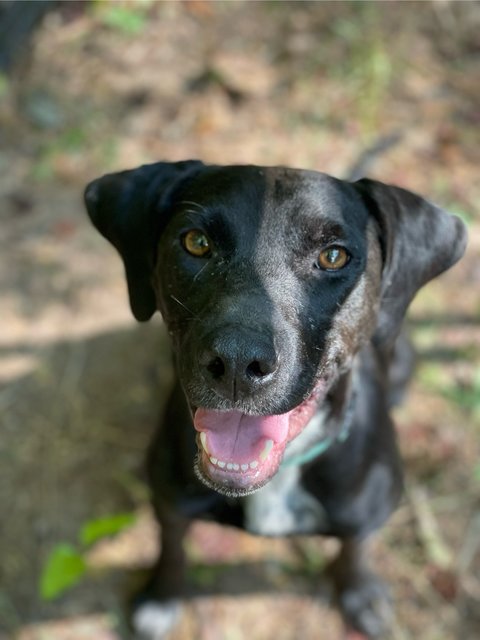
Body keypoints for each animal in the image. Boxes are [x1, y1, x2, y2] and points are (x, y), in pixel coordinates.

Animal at [84, 162, 466, 636]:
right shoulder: (169, 500)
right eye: (196, 242)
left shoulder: (366, 515)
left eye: (334, 256)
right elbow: (171, 546)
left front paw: (360, 593)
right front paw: (162, 595)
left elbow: (355, 548)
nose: (236, 360)